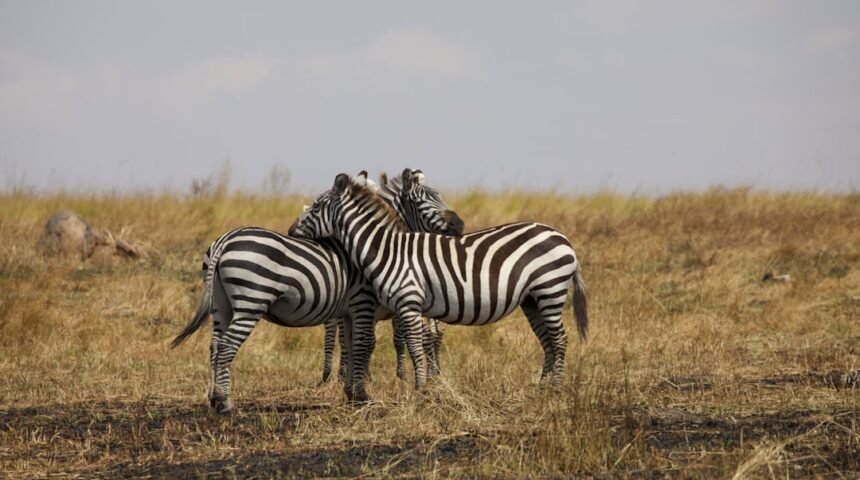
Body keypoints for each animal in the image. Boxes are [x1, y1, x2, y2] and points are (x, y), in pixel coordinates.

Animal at [171, 170, 463, 412]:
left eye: (440, 195)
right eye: (421, 201)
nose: (460, 225)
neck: (381, 245)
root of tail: (225, 240)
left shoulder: (352, 309)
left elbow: (354, 345)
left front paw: (353, 391)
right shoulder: (365, 301)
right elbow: (371, 343)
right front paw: (367, 392)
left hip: (221, 305)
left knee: (214, 344)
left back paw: (214, 397)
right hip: (250, 301)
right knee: (227, 346)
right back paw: (226, 403)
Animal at [289, 172, 589, 399]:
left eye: (315, 207)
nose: (290, 232)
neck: (387, 249)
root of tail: (562, 237)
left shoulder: (408, 302)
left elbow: (413, 343)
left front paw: (419, 388)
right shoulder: (408, 306)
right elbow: (411, 341)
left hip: (550, 290)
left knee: (559, 339)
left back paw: (556, 389)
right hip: (532, 299)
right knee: (547, 340)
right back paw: (542, 389)